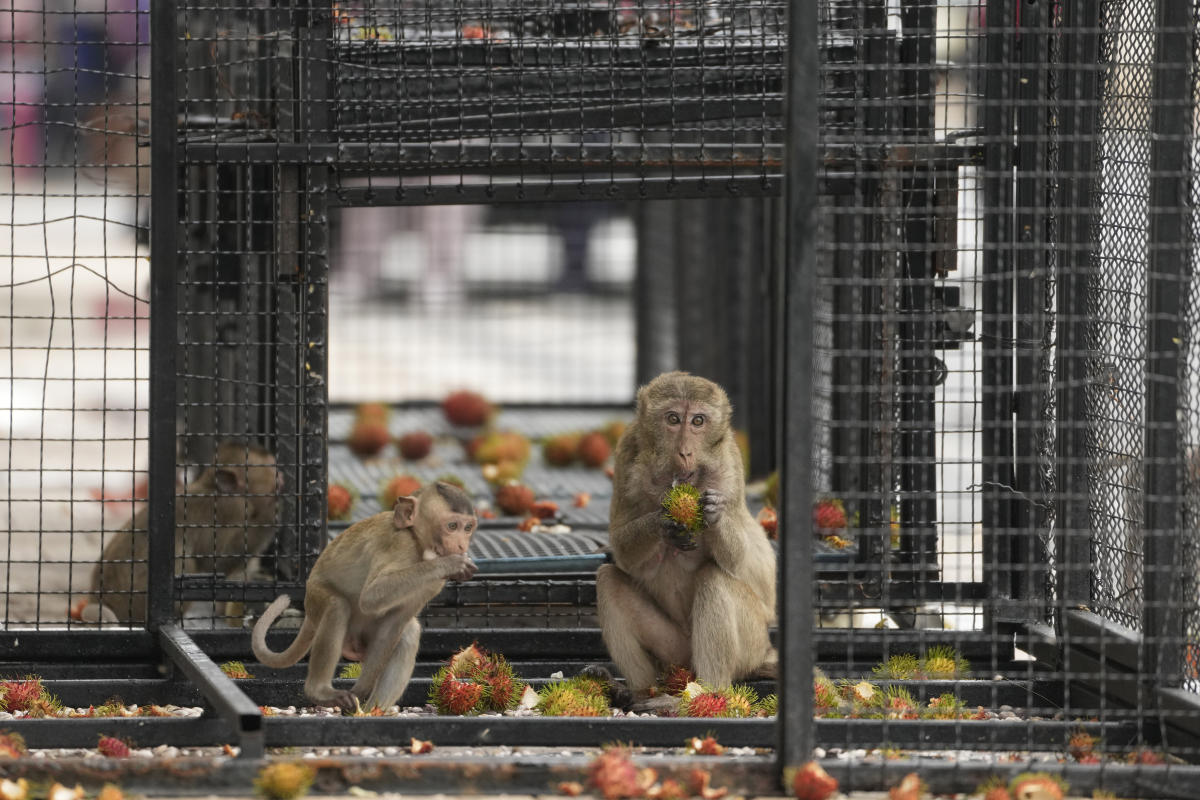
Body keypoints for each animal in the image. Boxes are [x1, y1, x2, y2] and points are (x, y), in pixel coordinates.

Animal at [79, 440, 283, 625]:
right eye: (272, 467)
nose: (281, 474)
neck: (212, 487)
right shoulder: (231, 508)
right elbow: (214, 561)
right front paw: (271, 513)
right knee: (188, 565)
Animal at [251, 481, 478, 712]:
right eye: (452, 526)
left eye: (467, 528)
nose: (462, 545)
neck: (419, 543)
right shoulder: (401, 544)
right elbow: (372, 596)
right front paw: (451, 563)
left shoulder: (433, 584)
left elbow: (397, 620)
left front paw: (362, 691)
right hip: (314, 600)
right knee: (336, 606)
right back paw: (319, 691)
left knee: (408, 633)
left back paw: (374, 711)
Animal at [596, 371, 777, 709]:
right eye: (673, 419)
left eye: (698, 421)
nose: (685, 452)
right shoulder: (626, 452)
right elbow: (623, 552)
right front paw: (663, 521)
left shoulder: (729, 466)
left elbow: (737, 560)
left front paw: (715, 514)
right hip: (674, 651)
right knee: (608, 579)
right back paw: (639, 692)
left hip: (752, 643)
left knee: (714, 578)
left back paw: (708, 693)